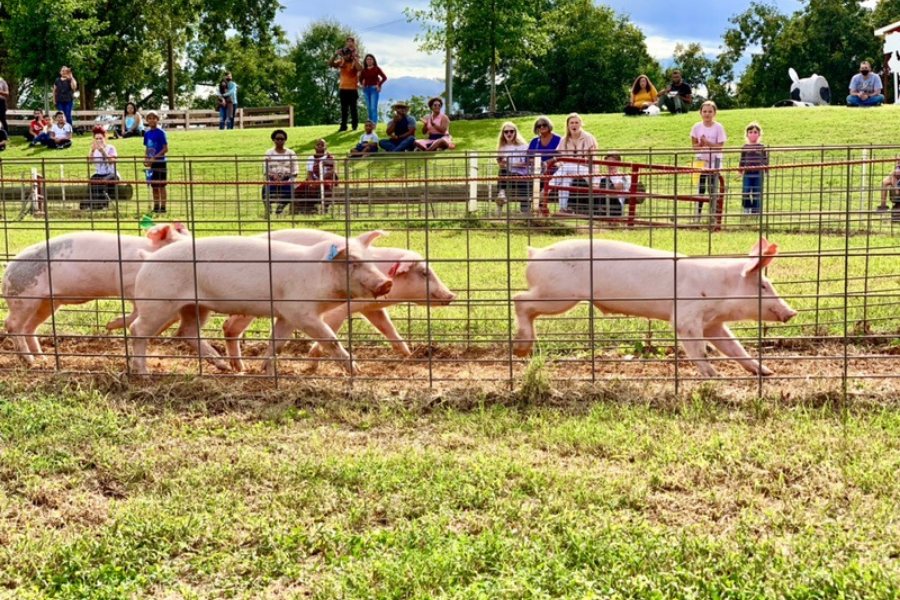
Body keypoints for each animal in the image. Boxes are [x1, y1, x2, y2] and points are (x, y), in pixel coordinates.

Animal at [4, 223, 191, 366]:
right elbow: (137, 312)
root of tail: (7, 271)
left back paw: (42, 358)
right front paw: (110, 325)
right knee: (12, 325)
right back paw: (30, 361)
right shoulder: (128, 285)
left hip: (47, 303)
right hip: (24, 297)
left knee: (29, 327)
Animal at [127, 236, 394, 372]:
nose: (386, 282)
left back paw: (226, 367)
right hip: (159, 301)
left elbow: (278, 342)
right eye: (352, 262)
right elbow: (330, 338)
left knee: (186, 332)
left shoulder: (287, 314)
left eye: (370, 259)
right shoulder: (300, 310)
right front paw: (357, 370)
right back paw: (143, 373)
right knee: (137, 330)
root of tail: (148, 258)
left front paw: (264, 369)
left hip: (194, 306)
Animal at [219, 229, 458, 372]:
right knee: (230, 326)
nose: (452, 296)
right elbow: (331, 331)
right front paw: (312, 363)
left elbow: (388, 328)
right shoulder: (338, 310)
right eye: (425, 272)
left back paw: (239, 369)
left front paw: (409, 355)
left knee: (229, 327)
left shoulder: (371, 308)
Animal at [510, 238, 800, 376]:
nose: (792, 312)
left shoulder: (713, 323)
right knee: (519, 299)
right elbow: (697, 348)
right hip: (558, 294)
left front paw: (767, 372)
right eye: (763, 285)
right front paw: (714, 376)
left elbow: (734, 347)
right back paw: (521, 349)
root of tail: (535, 253)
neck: (720, 289)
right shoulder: (686, 315)